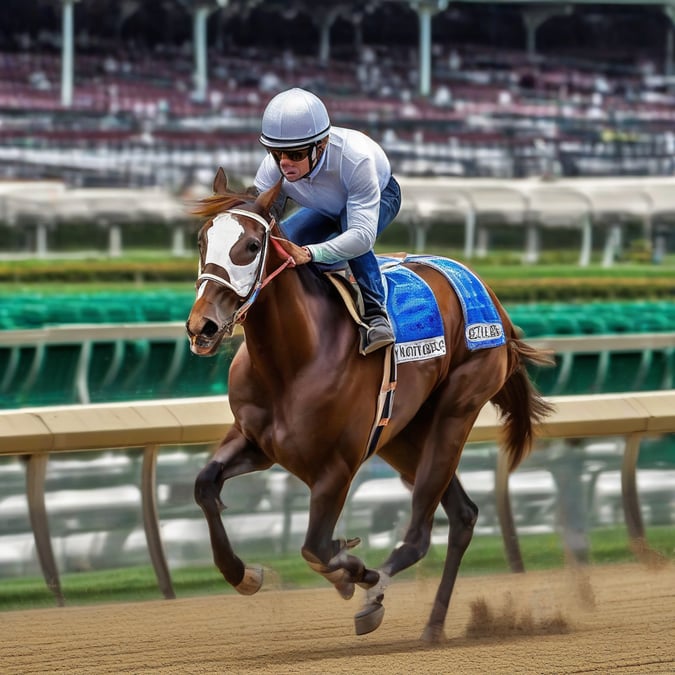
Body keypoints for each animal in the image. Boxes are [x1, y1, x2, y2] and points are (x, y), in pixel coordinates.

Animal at [186, 168, 554, 642]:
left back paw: (383, 595)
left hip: (455, 410)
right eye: (202, 240)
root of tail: (486, 293)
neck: (294, 360)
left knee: (420, 532)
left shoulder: (336, 467)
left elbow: (316, 548)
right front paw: (244, 573)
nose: (203, 327)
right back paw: (432, 624)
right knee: (464, 515)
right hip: (403, 434)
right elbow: (205, 486)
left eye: (251, 246)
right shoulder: (257, 442)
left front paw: (354, 574)